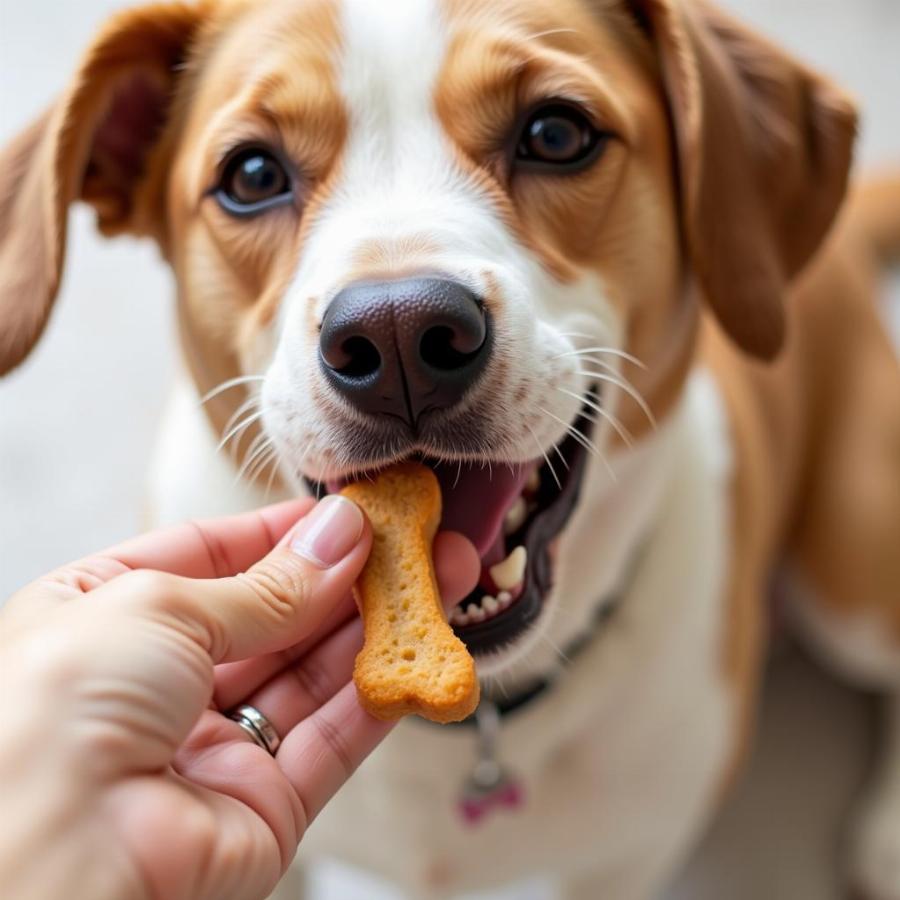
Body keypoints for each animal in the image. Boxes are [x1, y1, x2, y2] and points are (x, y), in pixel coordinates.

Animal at [1, 0, 900, 896]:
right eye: (252, 176)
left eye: (556, 133)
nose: (398, 334)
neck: (480, 721)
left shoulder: (626, 861)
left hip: (851, 572)